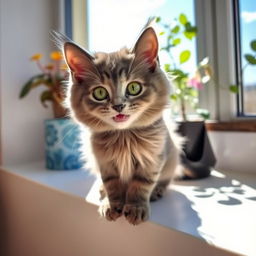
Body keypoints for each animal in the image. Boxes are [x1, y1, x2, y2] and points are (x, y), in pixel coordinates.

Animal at [57, 23, 181, 224]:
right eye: (100, 93)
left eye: (134, 87)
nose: (118, 106)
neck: (124, 136)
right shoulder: (104, 162)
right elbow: (112, 184)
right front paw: (111, 204)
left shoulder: (152, 159)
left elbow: (141, 185)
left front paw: (136, 207)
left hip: (172, 156)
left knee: (164, 181)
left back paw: (157, 191)